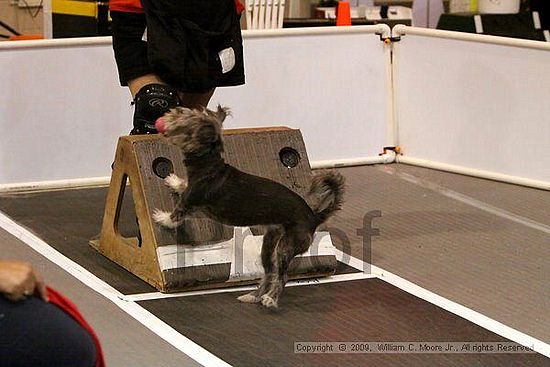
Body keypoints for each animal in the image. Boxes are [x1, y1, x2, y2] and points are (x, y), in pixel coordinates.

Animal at [153, 105, 344, 308]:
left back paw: (270, 298)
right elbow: (182, 185)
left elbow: (175, 216)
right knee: (270, 272)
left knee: (282, 276)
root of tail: (313, 216)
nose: (170, 112)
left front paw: (161, 218)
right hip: (269, 244)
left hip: (285, 247)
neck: (208, 164)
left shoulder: (188, 202)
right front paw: (173, 181)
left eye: (182, 116)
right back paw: (254, 296)